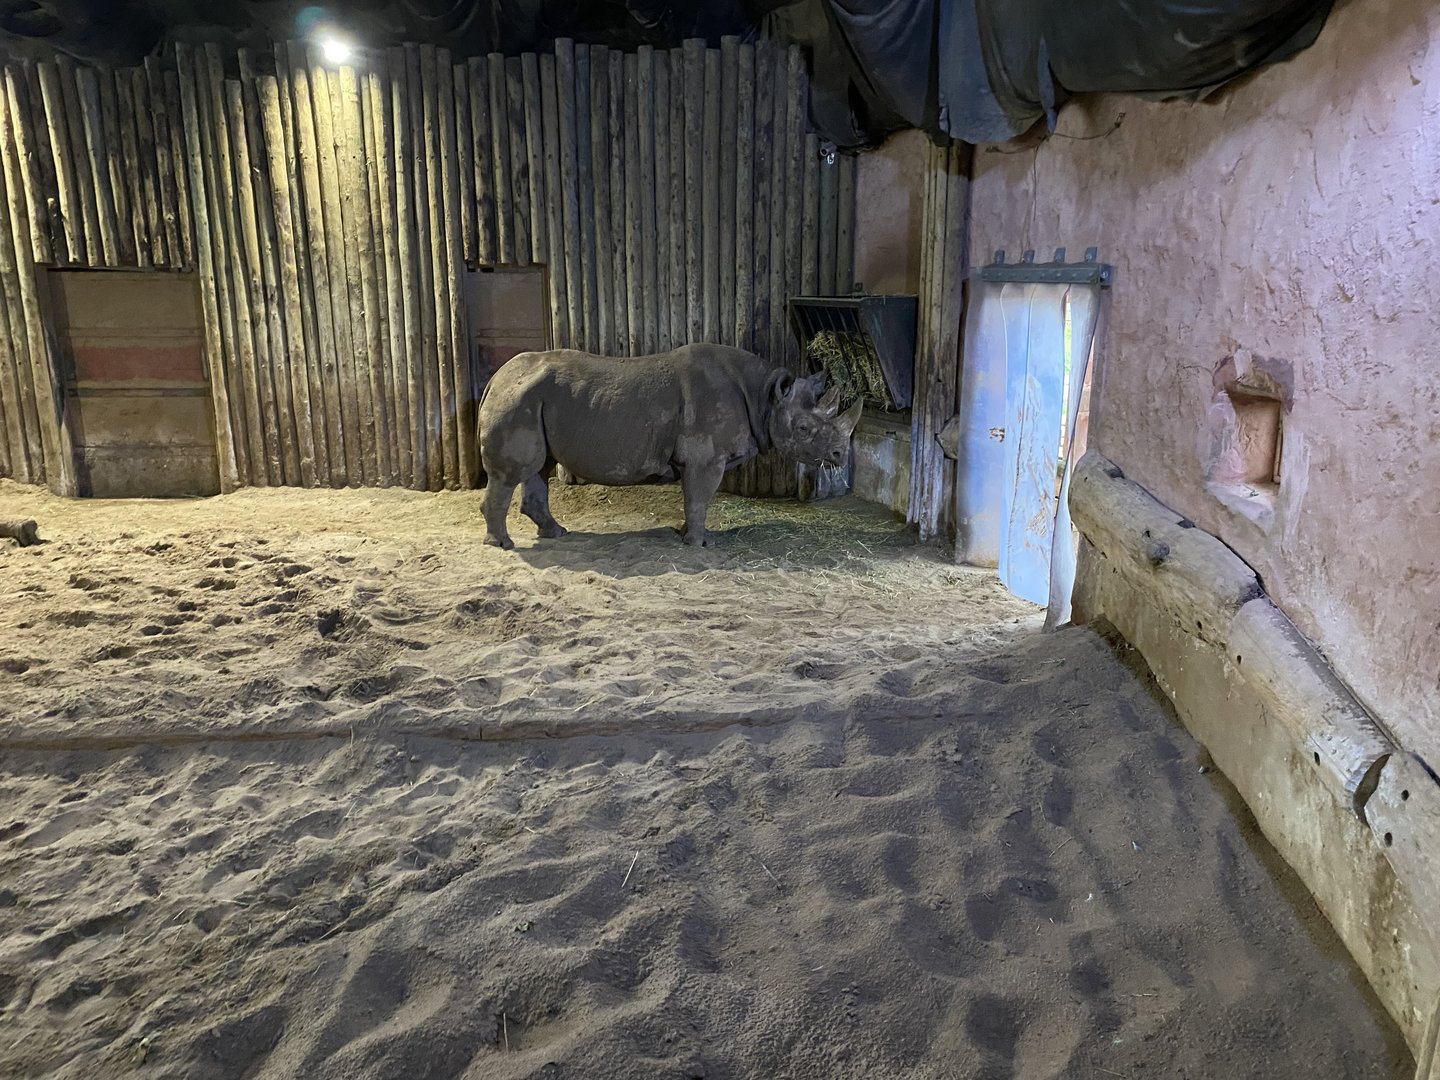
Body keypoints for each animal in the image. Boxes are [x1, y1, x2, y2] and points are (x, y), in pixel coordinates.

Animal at [476, 343, 863, 549]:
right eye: (803, 428)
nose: (839, 455)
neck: (765, 396)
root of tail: (495, 379)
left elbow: (696, 500)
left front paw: (688, 535)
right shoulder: (705, 458)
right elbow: (699, 499)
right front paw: (699, 544)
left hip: (528, 398)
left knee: (537, 469)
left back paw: (556, 533)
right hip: (517, 401)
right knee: (512, 475)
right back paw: (503, 545)